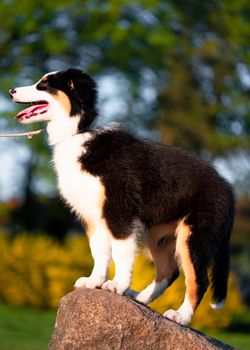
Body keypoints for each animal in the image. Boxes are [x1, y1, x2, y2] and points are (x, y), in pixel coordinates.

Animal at [8, 68, 234, 326]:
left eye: (44, 84)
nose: (11, 91)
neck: (79, 133)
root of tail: (228, 190)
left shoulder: (119, 211)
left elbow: (120, 252)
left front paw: (117, 286)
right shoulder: (93, 216)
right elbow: (99, 252)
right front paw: (94, 281)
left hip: (194, 235)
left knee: (198, 279)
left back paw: (180, 316)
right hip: (160, 235)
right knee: (169, 271)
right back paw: (140, 297)